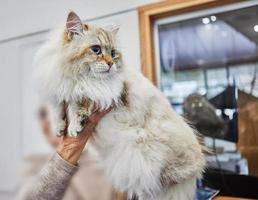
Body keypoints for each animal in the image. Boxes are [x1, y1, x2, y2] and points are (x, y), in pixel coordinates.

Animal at [35, 11, 206, 200]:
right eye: (96, 50)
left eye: (113, 53)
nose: (111, 64)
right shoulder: (59, 90)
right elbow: (57, 109)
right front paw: (59, 129)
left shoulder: (101, 92)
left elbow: (77, 104)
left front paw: (73, 128)